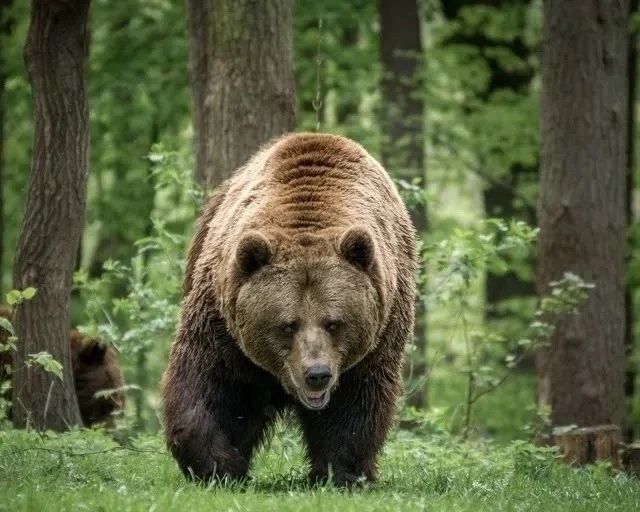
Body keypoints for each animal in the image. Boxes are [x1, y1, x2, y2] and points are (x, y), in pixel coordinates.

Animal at [162, 132, 417, 487]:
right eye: (287, 325)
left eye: (334, 323)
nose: (317, 374)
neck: (309, 218)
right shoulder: (221, 324)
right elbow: (207, 382)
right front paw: (220, 465)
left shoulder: (380, 331)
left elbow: (356, 404)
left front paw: (342, 472)